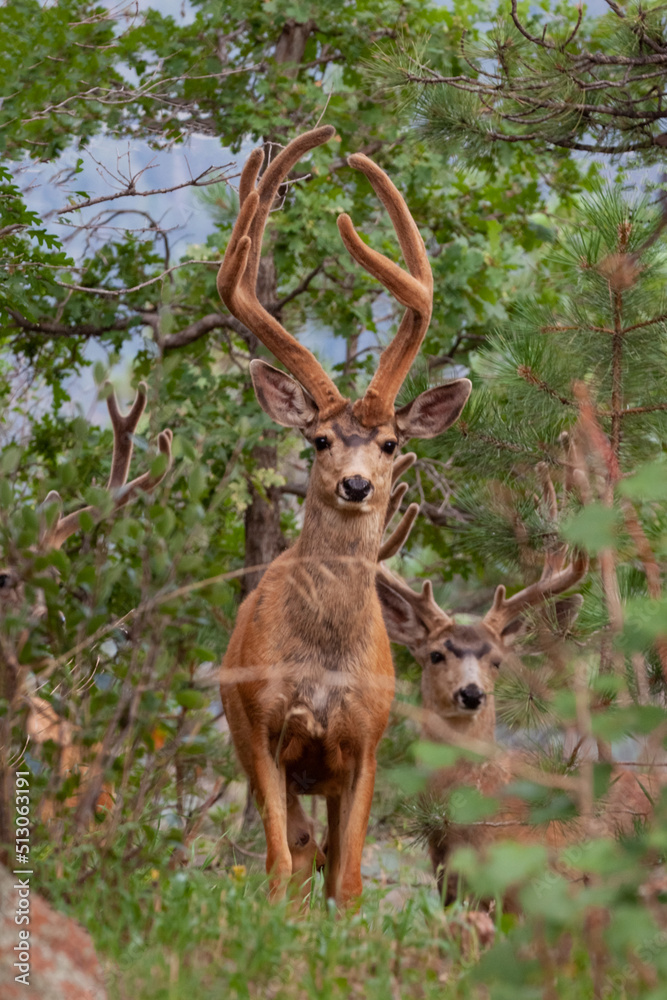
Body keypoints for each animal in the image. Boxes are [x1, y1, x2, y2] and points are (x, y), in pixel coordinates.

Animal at [216, 125, 472, 906]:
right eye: (320, 439)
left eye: (389, 442)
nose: (357, 485)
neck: (325, 666)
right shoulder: (263, 732)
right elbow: (279, 864)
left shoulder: (366, 743)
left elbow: (351, 878)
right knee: (300, 852)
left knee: (326, 856)